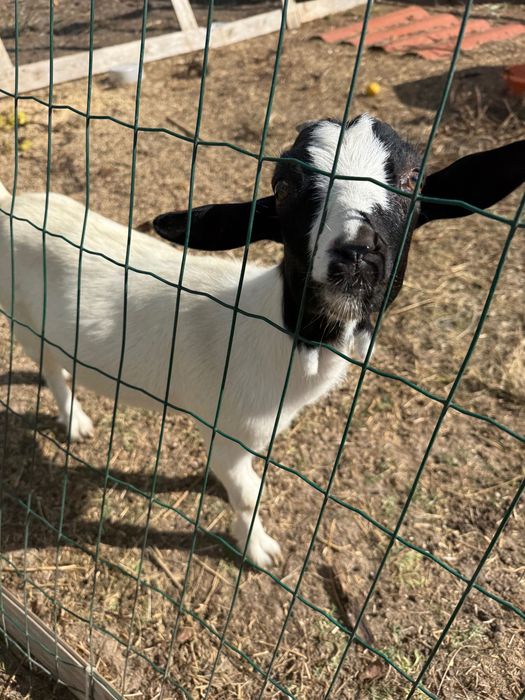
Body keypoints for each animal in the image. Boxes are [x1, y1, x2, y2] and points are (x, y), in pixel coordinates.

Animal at [0, 115, 523, 567]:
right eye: (284, 187)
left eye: (414, 178)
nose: (356, 255)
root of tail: (11, 206)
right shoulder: (226, 426)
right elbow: (249, 493)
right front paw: (258, 548)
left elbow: (244, 477)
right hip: (22, 315)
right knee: (50, 367)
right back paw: (76, 421)